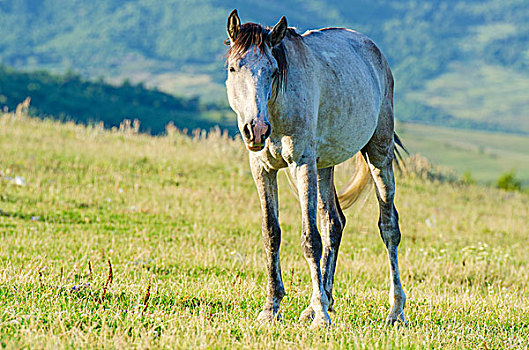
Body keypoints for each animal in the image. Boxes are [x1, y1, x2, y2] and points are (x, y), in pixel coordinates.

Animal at [225, 10, 406, 328]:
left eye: (272, 71)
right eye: (234, 68)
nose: (255, 130)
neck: (277, 106)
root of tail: (374, 52)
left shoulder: (302, 164)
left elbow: (311, 239)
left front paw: (321, 317)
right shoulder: (262, 168)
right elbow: (271, 234)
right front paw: (271, 308)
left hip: (379, 153)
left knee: (389, 227)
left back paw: (395, 311)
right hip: (325, 166)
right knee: (334, 222)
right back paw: (321, 300)